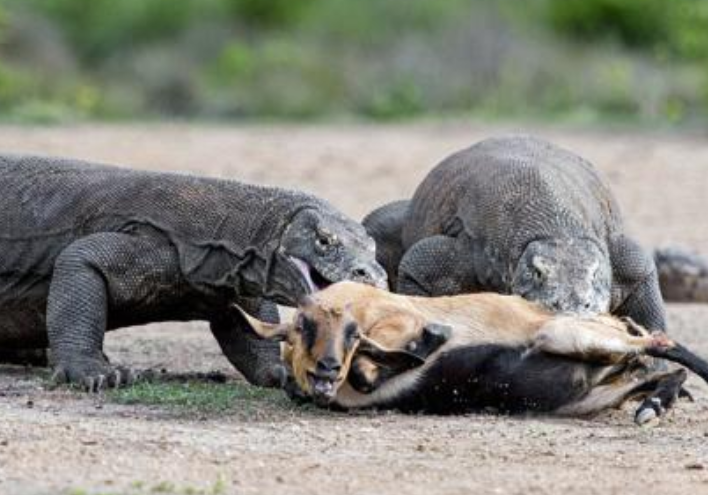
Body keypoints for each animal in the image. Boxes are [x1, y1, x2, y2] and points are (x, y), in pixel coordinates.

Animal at [239, 280, 708, 424]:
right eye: (302, 326)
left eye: (352, 333)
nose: (326, 369)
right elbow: (367, 375)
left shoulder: (396, 318)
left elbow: (374, 366)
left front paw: (430, 338)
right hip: (584, 387)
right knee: (657, 364)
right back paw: (653, 405)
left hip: (565, 334)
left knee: (662, 344)